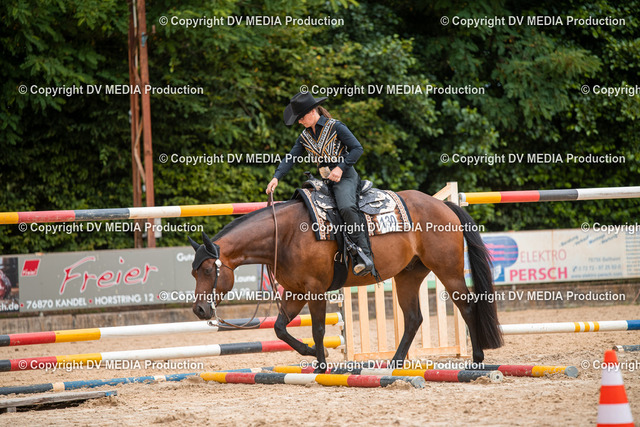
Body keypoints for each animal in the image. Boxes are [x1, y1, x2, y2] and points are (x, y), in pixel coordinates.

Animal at [188, 190, 503, 372]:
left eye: (209, 270)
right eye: (193, 272)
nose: (200, 310)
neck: (286, 235)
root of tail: (443, 204)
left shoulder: (315, 290)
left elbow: (316, 329)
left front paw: (321, 364)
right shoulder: (295, 292)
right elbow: (279, 328)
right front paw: (312, 353)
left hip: (448, 271)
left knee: (468, 307)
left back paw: (477, 358)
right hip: (408, 275)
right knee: (414, 317)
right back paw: (395, 362)